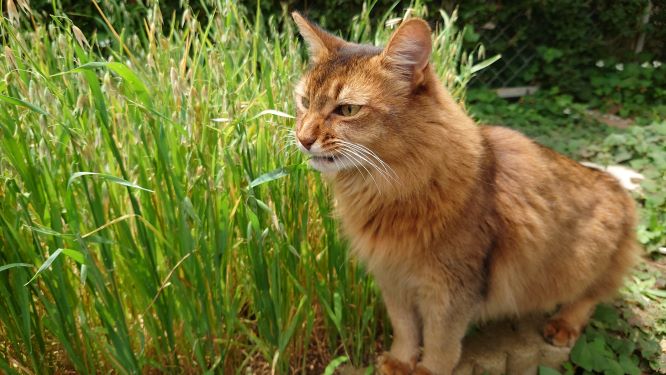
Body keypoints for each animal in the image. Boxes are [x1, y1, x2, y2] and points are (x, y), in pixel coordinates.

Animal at [290, 12, 640, 375]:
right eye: (304, 101)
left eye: (347, 110)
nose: (302, 138)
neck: (389, 188)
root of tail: (613, 183)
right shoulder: (392, 278)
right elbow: (405, 328)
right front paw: (400, 361)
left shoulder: (451, 289)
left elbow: (440, 342)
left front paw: (427, 371)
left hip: (584, 257)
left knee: (592, 294)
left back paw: (564, 324)